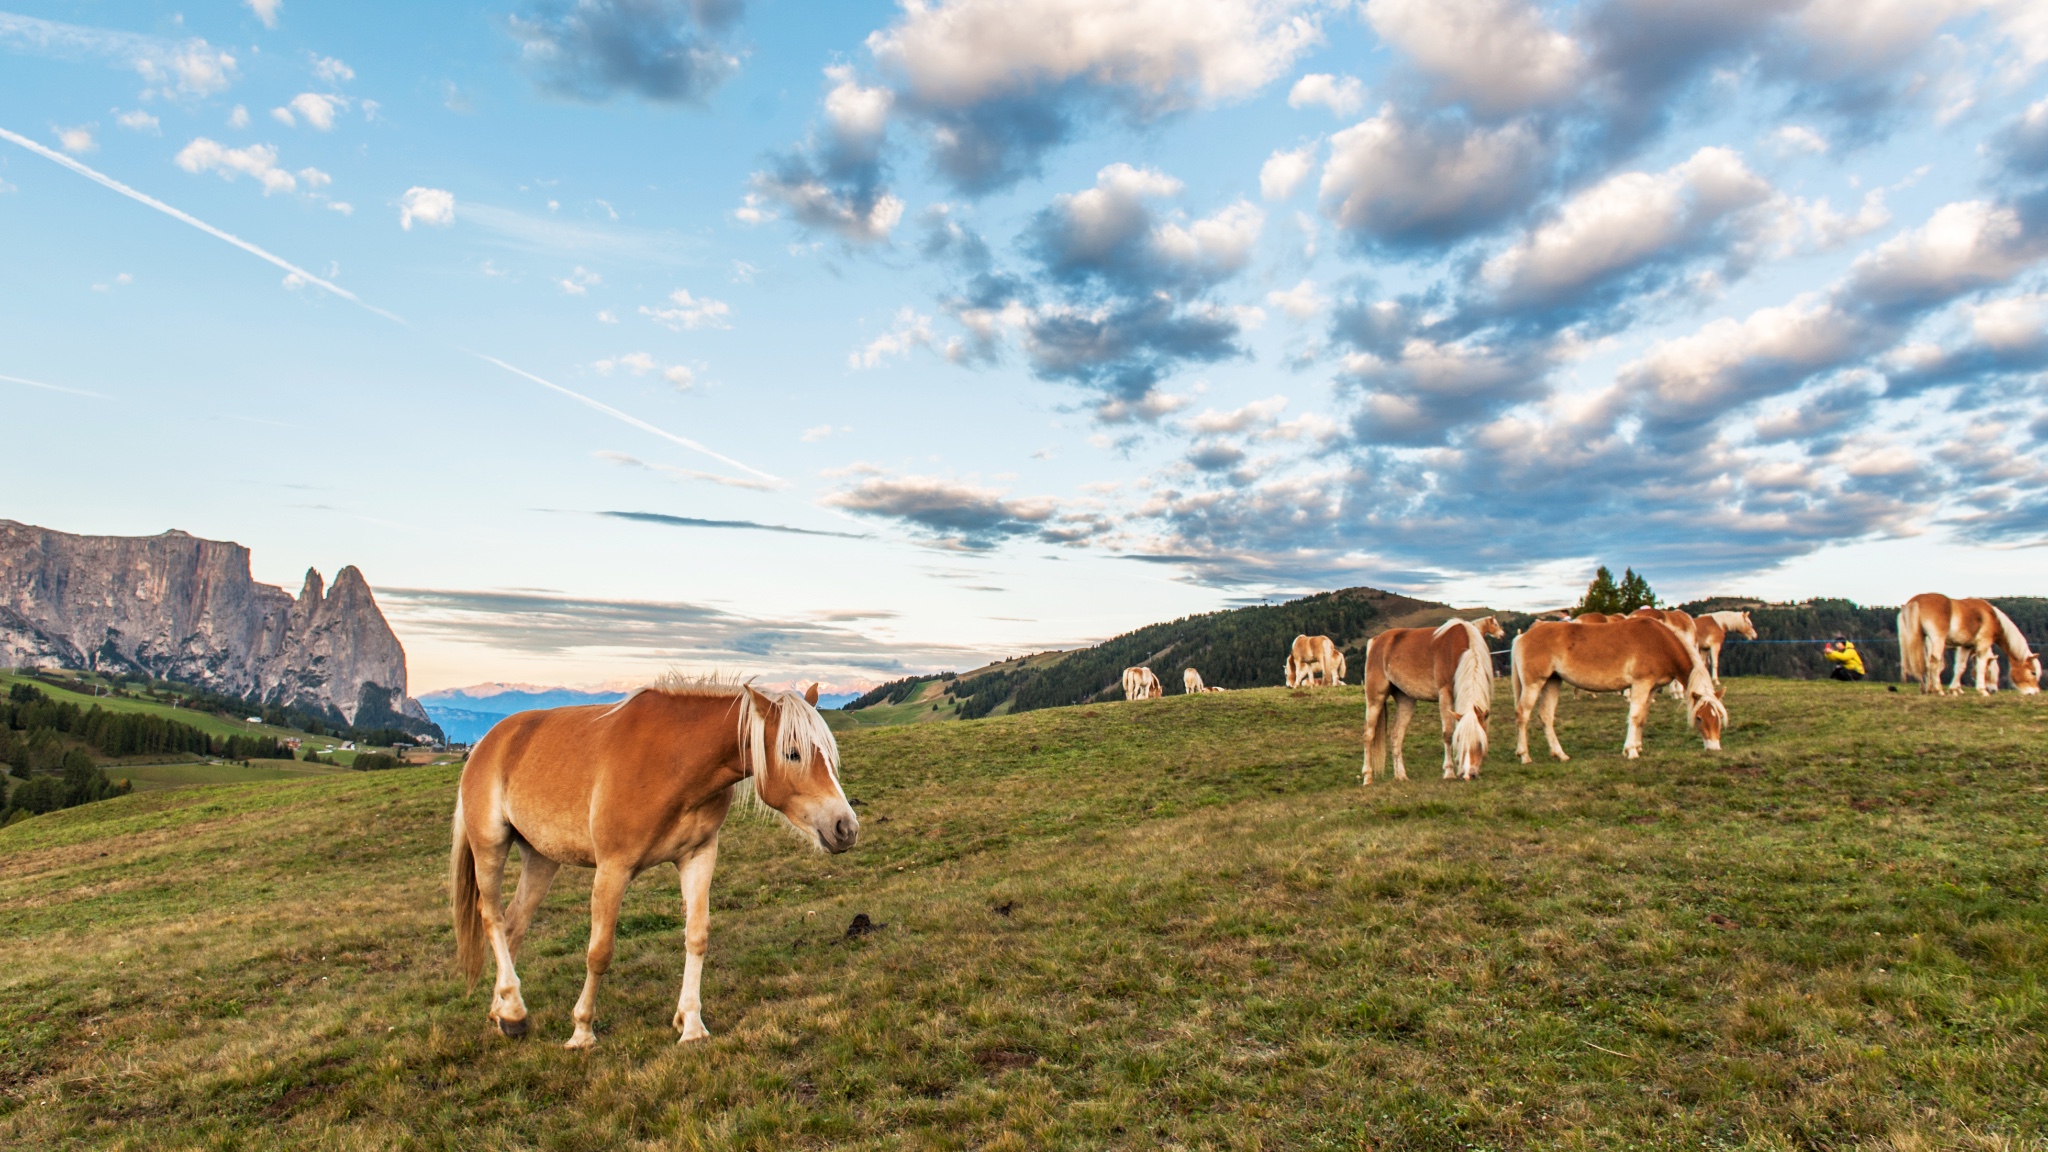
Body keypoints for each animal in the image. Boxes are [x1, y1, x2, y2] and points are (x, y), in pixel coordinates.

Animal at [450, 676, 856, 1045]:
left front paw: (691, 1024)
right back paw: (515, 1012)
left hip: (541, 858)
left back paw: (503, 1011)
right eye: (793, 753)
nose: (846, 827)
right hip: (490, 847)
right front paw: (582, 1031)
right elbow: (599, 952)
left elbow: (697, 936)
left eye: (827, 754)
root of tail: (486, 743)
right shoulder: (613, 869)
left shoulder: (698, 856)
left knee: (514, 923)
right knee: (492, 918)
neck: (675, 761)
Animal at [1359, 614, 1507, 783]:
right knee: (1368, 734)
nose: (1469, 775)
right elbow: (1448, 733)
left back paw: (1401, 775)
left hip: (1406, 701)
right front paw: (1449, 771)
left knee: (1396, 735)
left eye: (1481, 744)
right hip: (1375, 698)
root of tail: (1377, 640)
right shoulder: (1445, 694)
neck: (1461, 649)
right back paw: (1367, 777)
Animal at [1515, 619, 1720, 762]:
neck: (1659, 642)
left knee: (1546, 716)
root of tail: (1523, 636)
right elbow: (1635, 717)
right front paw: (1631, 751)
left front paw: (1637, 746)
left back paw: (1560, 754)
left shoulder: (1651, 688)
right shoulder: (1641, 684)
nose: (1714, 748)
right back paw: (1524, 755)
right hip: (1534, 684)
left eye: (1717, 717)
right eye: (1699, 717)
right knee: (1522, 715)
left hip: (1552, 682)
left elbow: (1642, 718)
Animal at [1892, 590, 2039, 688]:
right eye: (2032, 672)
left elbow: (1959, 667)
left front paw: (1955, 689)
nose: (1993, 690)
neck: (1992, 618)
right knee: (1930, 662)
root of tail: (1913, 602)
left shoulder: (1963, 646)